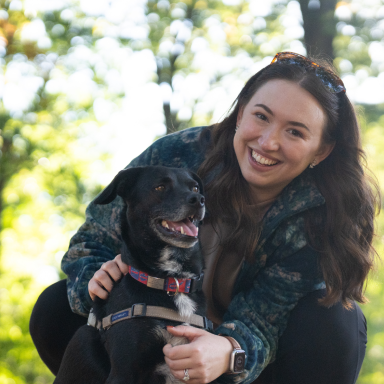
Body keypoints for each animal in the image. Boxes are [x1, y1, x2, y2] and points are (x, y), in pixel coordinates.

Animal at [53, 166, 210, 384]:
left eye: (194, 187)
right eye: (160, 187)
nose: (198, 199)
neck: (172, 281)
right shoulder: (124, 371)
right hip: (83, 338)